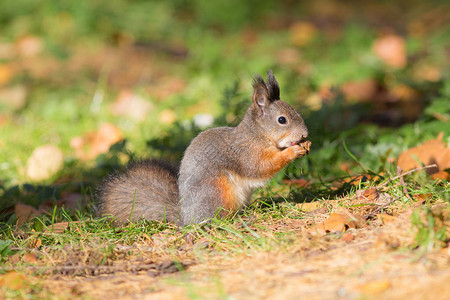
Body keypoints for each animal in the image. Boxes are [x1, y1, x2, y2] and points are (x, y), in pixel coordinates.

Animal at [96, 70, 312, 225]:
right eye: (282, 120)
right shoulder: (245, 153)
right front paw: (292, 151)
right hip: (217, 192)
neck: (257, 136)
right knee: (215, 219)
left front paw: (306, 145)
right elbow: (261, 167)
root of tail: (186, 218)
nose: (305, 134)